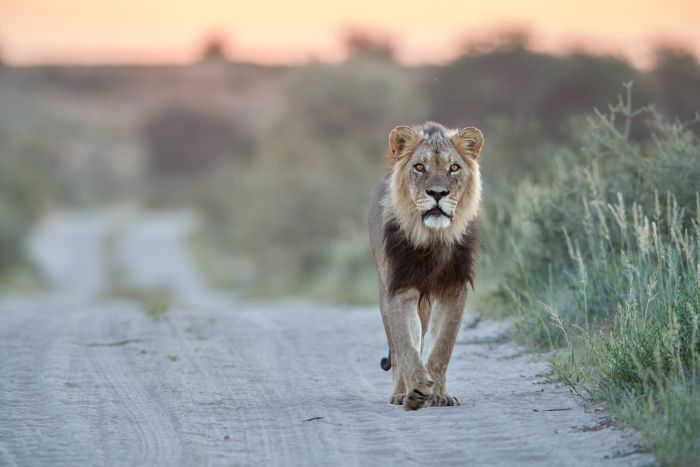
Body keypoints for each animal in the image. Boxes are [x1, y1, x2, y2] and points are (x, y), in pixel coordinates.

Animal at [368, 121, 483, 411]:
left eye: (454, 168)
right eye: (419, 167)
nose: (438, 193)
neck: (434, 237)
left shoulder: (454, 289)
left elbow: (443, 346)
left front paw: (439, 394)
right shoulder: (401, 289)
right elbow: (407, 345)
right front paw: (417, 389)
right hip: (384, 292)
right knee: (399, 347)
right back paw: (401, 392)